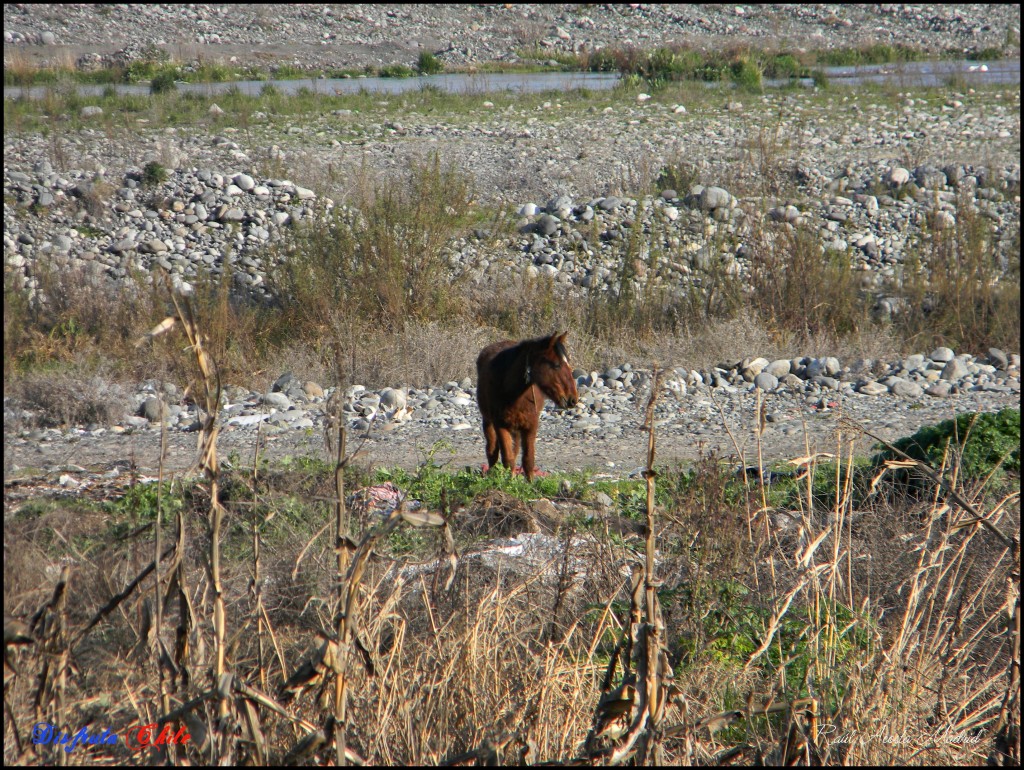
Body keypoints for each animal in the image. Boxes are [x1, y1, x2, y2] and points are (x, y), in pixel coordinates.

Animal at [475, 331, 581, 481]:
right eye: (556, 365)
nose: (573, 399)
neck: (512, 392)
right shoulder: (500, 425)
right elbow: (508, 459)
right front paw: (508, 483)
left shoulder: (531, 426)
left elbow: (528, 461)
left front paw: (529, 484)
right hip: (489, 422)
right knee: (492, 451)